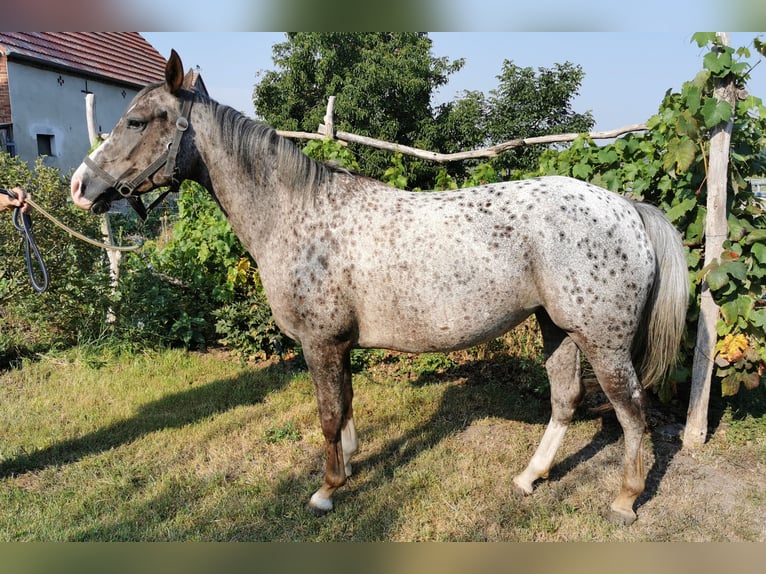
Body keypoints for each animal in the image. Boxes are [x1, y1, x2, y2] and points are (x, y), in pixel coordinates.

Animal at [70, 49, 688, 528]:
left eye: (138, 121)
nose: (80, 186)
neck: (299, 214)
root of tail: (625, 208)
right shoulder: (338, 346)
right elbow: (344, 407)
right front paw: (348, 468)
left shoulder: (319, 344)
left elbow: (326, 414)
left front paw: (325, 491)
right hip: (556, 328)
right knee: (565, 401)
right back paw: (529, 478)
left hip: (602, 342)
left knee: (632, 412)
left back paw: (625, 500)